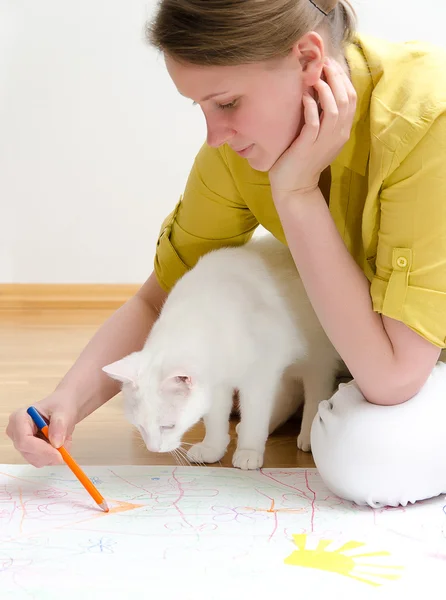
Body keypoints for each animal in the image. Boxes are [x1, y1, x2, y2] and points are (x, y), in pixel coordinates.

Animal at [103, 234, 342, 468]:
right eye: (140, 426)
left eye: (168, 426)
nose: (153, 449)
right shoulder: (217, 385)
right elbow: (216, 419)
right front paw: (212, 448)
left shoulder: (259, 376)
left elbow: (255, 414)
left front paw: (248, 451)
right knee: (289, 393)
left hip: (315, 357)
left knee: (316, 392)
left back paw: (308, 435)